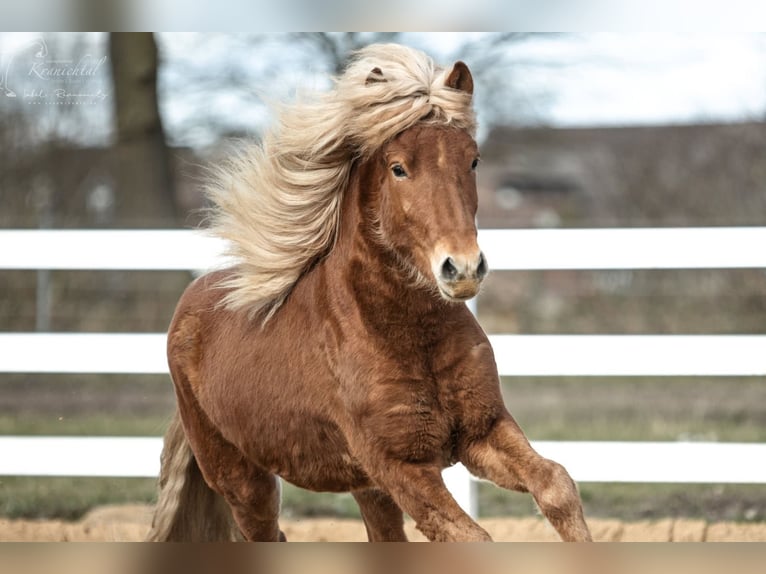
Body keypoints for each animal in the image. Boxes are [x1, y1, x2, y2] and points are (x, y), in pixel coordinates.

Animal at [148, 44, 592, 542]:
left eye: (473, 160)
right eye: (398, 168)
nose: (462, 268)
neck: (408, 333)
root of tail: (188, 309)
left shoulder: (482, 430)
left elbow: (556, 485)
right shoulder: (401, 466)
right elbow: (473, 536)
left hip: (365, 487)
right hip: (243, 479)